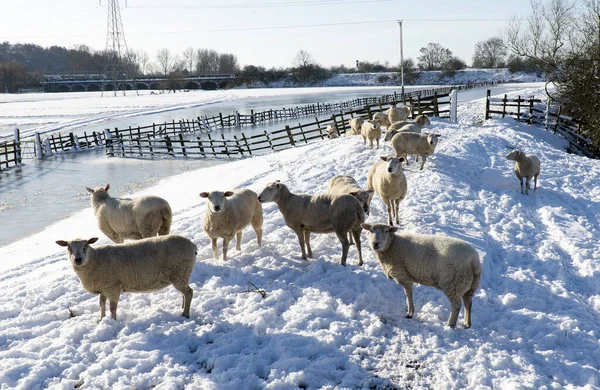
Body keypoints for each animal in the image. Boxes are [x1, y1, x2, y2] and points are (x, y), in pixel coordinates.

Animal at [55, 235, 197, 320]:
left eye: (85, 246)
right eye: (69, 247)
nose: (78, 259)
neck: (94, 259)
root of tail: (192, 245)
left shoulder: (112, 287)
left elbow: (112, 308)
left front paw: (113, 321)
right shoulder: (103, 288)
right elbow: (101, 305)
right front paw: (101, 320)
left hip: (180, 272)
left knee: (189, 292)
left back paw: (185, 314)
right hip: (181, 275)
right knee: (184, 293)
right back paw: (182, 308)